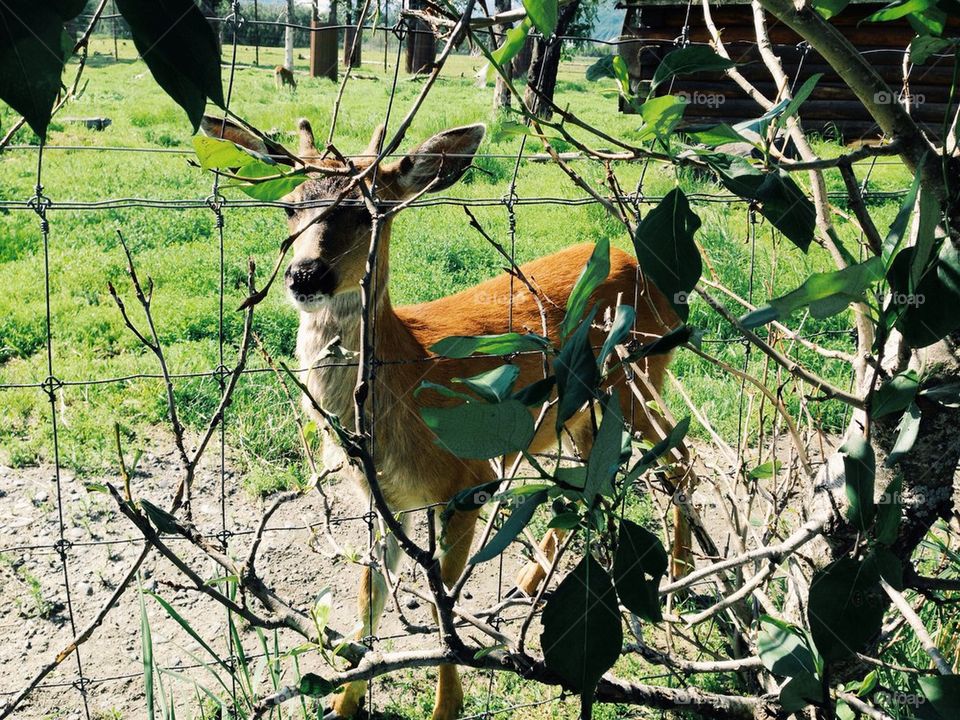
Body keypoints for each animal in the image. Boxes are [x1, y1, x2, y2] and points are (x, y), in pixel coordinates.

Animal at [200, 115, 680, 720]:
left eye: (368, 210)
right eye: (289, 206)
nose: (306, 275)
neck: (405, 387)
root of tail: (653, 274)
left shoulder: (466, 484)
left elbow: (440, 609)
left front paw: (446, 707)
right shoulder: (385, 501)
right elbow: (367, 596)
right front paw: (344, 703)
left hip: (638, 378)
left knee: (679, 458)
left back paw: (678, 581)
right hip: (579, 413)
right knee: (589, 480)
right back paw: (530, 580)